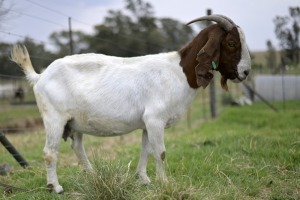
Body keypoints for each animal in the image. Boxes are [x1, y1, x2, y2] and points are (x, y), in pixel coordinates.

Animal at [9, 14, 251, 193]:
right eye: (231, 43)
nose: (246, 72)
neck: (178, 71)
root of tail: (40, 76)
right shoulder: (155, 119)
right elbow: (160, 152)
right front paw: (165, 183)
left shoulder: (147, 124)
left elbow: (146, 150)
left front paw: (144, 180)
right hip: (54, 118)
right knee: (50, 152)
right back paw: (55, 187)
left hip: (75, 121)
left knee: (77, 146)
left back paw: (93, 175)